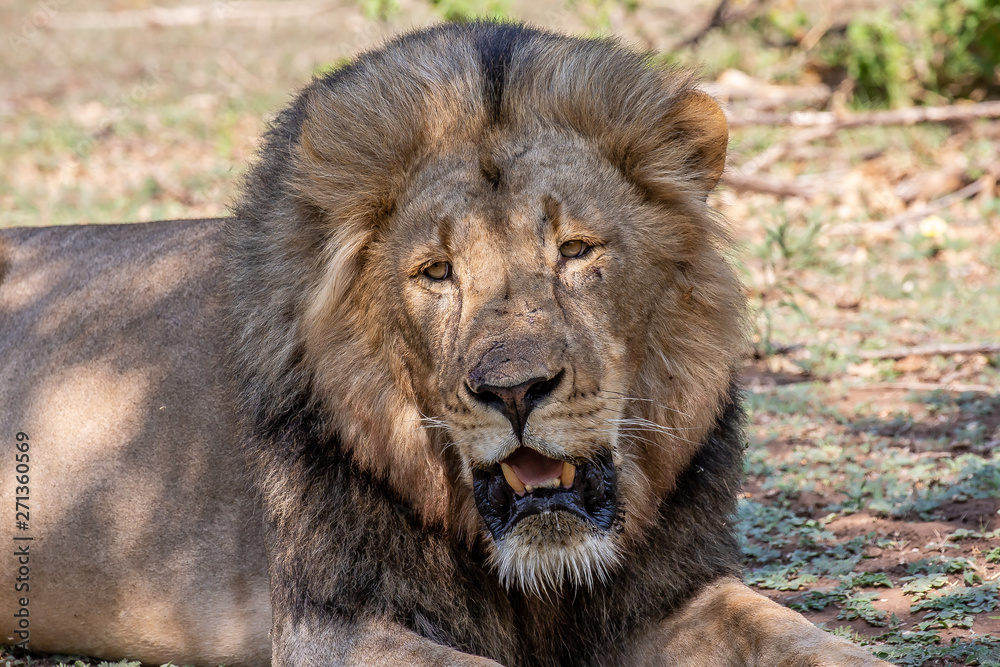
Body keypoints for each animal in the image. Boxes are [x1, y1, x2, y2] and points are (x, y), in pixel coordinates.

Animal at [0, 20, 892, 667]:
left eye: (576, 250)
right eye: (436, 272)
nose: (514, 391)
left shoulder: (669, 592)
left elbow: (808, 639)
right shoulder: (332, 620)